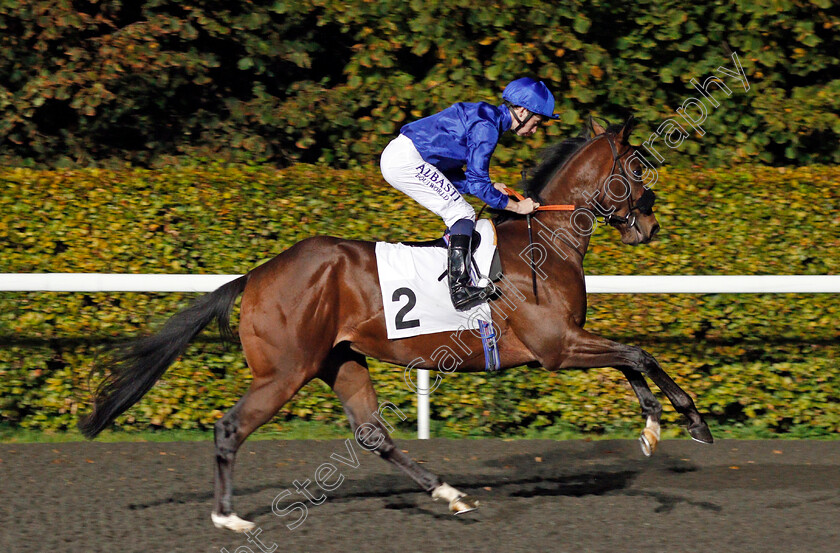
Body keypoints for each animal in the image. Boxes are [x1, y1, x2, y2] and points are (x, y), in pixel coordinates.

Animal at [79, 116, 712, 532]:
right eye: (637, 167)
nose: (649, 225)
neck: (546, 240)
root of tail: (257, 273)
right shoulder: (556, 347)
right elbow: (639, 354)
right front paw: (689, 422)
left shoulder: (566, 343)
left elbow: (632, 360)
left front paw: (653, 427)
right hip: (285, 371)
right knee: (230, 428)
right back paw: (228, 519)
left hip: (339, 360)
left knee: (371, 433)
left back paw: (450, 493)